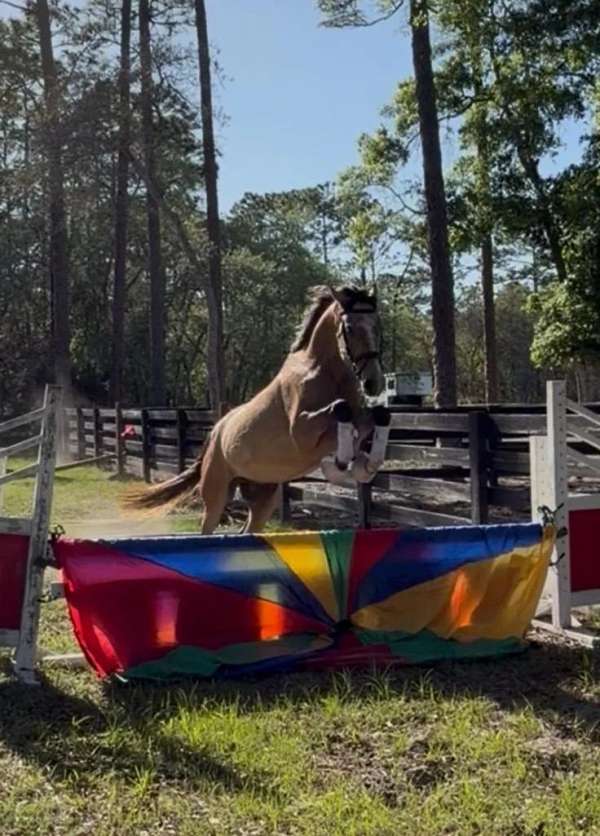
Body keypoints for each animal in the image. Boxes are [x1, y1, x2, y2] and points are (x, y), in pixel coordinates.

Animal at [124, 284, 386, 533]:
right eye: (350, 328)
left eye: (377, 325)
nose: (374, 383)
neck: (322, 371)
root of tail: (215, 431)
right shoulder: (301, 433)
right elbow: (341, 411)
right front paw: (341, 463)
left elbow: (374, 419)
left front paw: (364, 465)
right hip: (217, 492)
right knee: (208, 526)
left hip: (264, 495)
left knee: (248, 528)